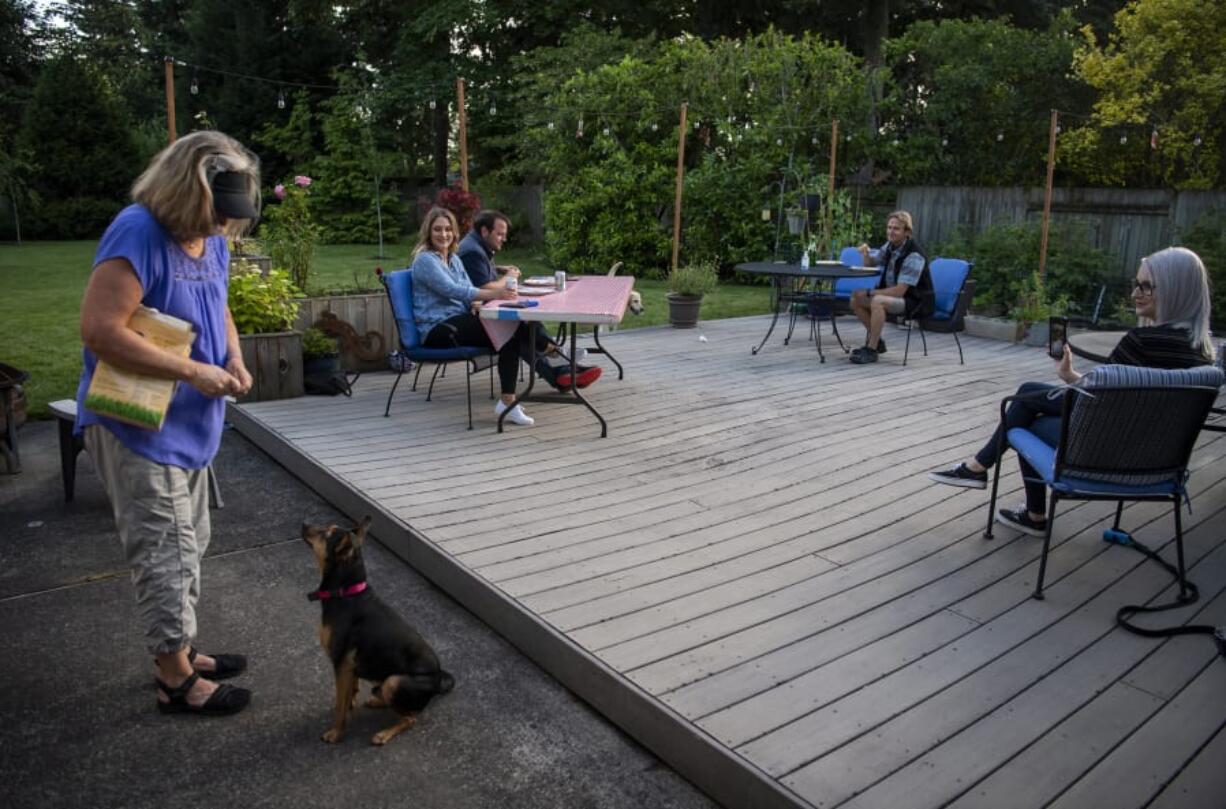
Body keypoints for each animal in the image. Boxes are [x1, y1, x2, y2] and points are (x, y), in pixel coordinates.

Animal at [301, 517, 456, 745]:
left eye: (326, 533)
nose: (303, 524)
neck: (346, 593)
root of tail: (437, 680)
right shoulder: (350, 665)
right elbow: (350, 692)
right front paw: (350, 704)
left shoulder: (341, 664)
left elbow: (339, 705)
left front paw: (336, 732)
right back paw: (377, 700)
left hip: (394, 681)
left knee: (410, 718)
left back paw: (384, 733)